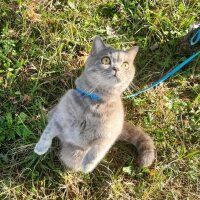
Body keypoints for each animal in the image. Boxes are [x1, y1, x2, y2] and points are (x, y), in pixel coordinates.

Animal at [34, 36, 155, 173]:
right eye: (106, 60)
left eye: (125, 65)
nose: (116, 68)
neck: (93, 102)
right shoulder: (59, 117)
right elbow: (48, 131)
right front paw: (40, 148)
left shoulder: (107, 136)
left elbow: (97, 151)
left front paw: (87, 166)